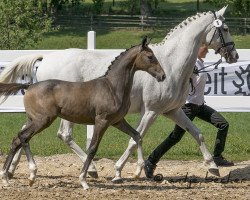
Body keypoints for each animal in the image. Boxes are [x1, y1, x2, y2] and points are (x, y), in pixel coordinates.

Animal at [0, 6, 238, 182]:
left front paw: (213, 167)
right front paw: (120, 171)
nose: (234, 55)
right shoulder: (151, 111)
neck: (171, 64)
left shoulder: (172, 111)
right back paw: (90, 170)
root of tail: (45, 58)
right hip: (61, 114)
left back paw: (13, 170)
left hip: (43, 114)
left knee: (24, 133)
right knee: (62, 135)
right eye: (225, 28)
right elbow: (135, 139)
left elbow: (196, 133)